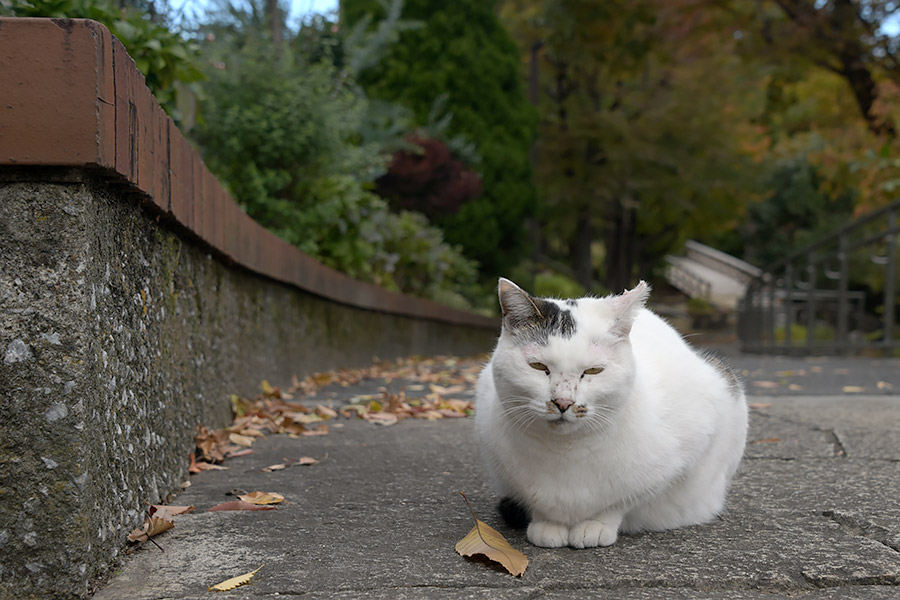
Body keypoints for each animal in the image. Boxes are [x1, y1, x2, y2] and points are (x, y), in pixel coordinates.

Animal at [474, 278, 748, 548]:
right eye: (538, 366)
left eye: (593, 370)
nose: (563, 402)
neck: (565, 452)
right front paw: (547, 524)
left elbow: (621, 501)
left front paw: (595, 525)